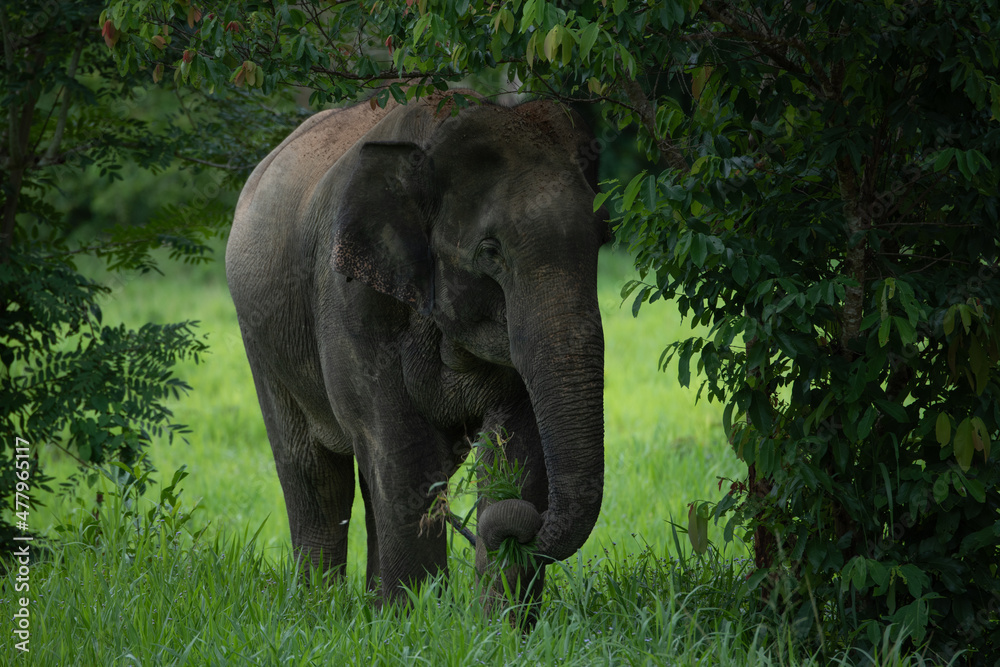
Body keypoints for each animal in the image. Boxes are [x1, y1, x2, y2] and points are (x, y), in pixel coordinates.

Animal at [226, 89, 608, 606]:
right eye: (490, 252)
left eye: (602, 240)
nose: (516, 531)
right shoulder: (351, 298)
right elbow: (402, 450)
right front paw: (418, 615)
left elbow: (517, 445)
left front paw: (498, 622)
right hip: (261, 338)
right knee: (313, 473)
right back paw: (316, 607)